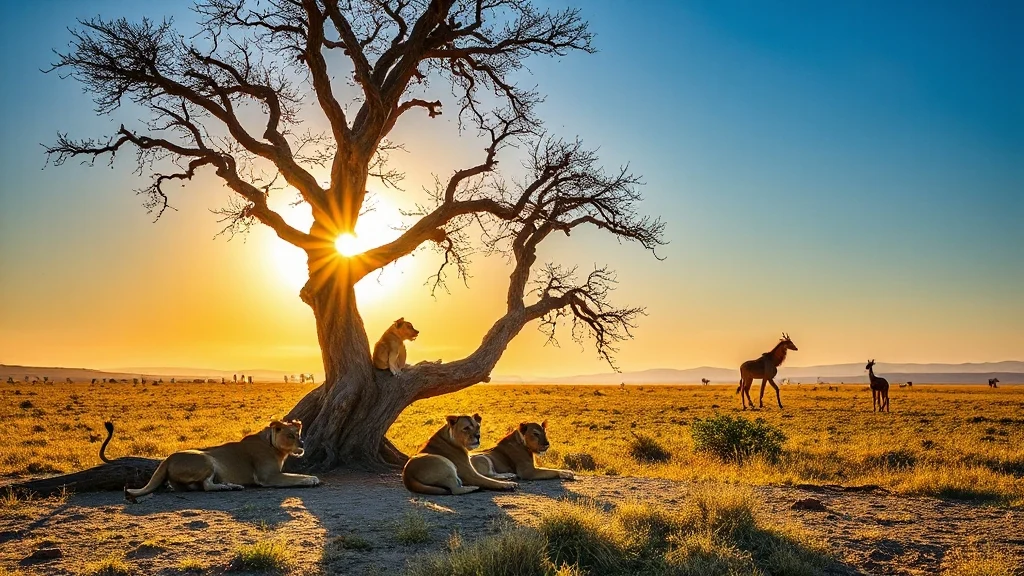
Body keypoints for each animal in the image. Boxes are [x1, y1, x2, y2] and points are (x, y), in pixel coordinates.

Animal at [124, 420, 319, 502]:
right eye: (290, 436)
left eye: (298, 433)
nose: (302, 443)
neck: (275, 447)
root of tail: (167, 459)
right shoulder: (268, 477)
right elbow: (295, 477)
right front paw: (311, 479)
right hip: (207, 459)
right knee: (207, 486)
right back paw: (229, 486)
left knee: (200, 486)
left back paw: (231, 485)